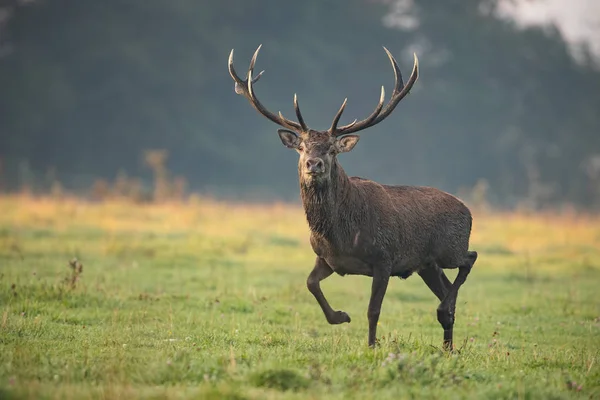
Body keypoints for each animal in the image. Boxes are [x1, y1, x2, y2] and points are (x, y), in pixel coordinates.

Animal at [230, 44, 478, 350]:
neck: (341, 235)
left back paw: (445, 317)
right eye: (302, 147)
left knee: (470, 258)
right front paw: (341, 316)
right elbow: (310, 284)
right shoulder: (327, 259)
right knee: (446, 291)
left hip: (449, 249)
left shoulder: (385, 258)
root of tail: (468, 210)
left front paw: (371, 345)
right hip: (427, 265)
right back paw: (447, 346)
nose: (313, 164)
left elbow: (373, 310)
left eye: (332, 149)